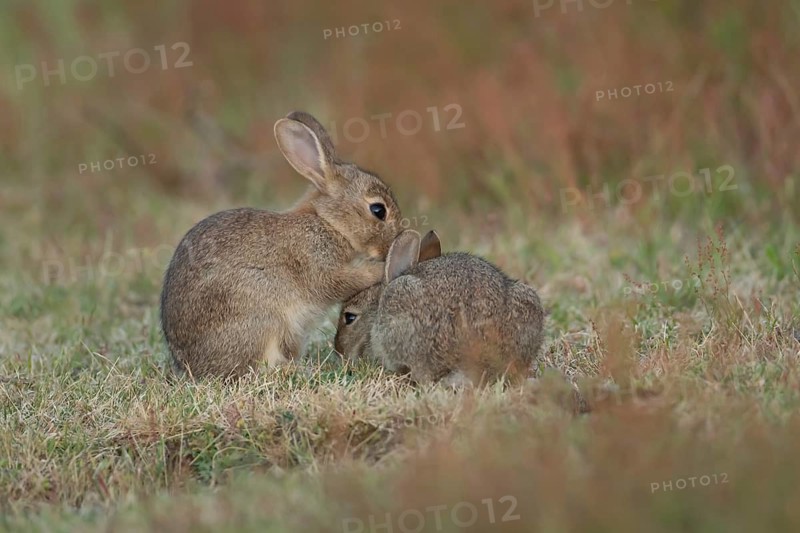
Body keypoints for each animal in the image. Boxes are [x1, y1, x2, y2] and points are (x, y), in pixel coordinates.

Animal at [160, 111, 403, 378]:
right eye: (378, 210)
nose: (396, 239)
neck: (327, 222)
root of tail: (191, 365)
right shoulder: (316, 263)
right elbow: (342, 281)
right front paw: (379, 270)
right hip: (263, 319)